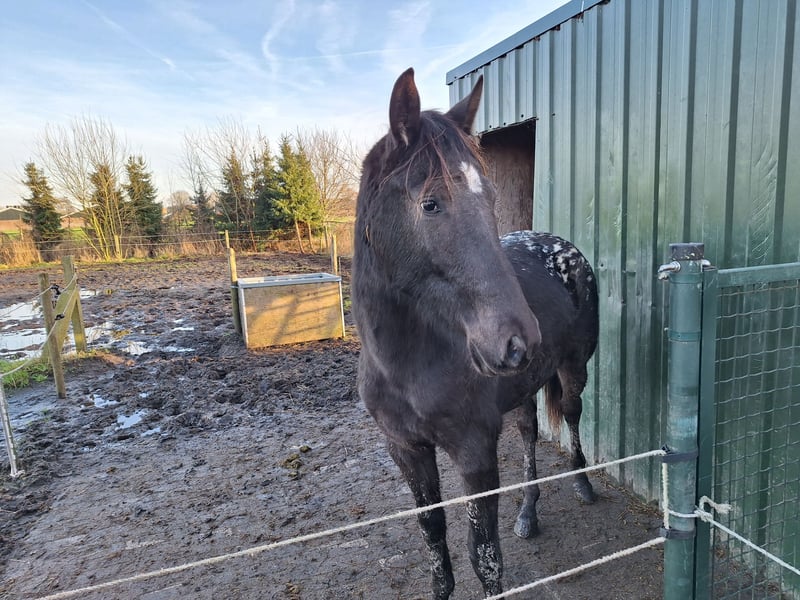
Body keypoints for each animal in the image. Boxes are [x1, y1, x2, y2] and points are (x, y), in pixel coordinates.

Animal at [352, 68, 599, 599]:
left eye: (489, 198)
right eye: (430, 204)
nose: (518, 339)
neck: (406, 364)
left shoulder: (474, 451)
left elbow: (483, 557)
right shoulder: (407, 450)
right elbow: (434, 538)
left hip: (574, 369)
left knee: (570, 414)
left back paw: (583, 483)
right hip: (525, 387)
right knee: (528, 433)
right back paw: (528, 514)